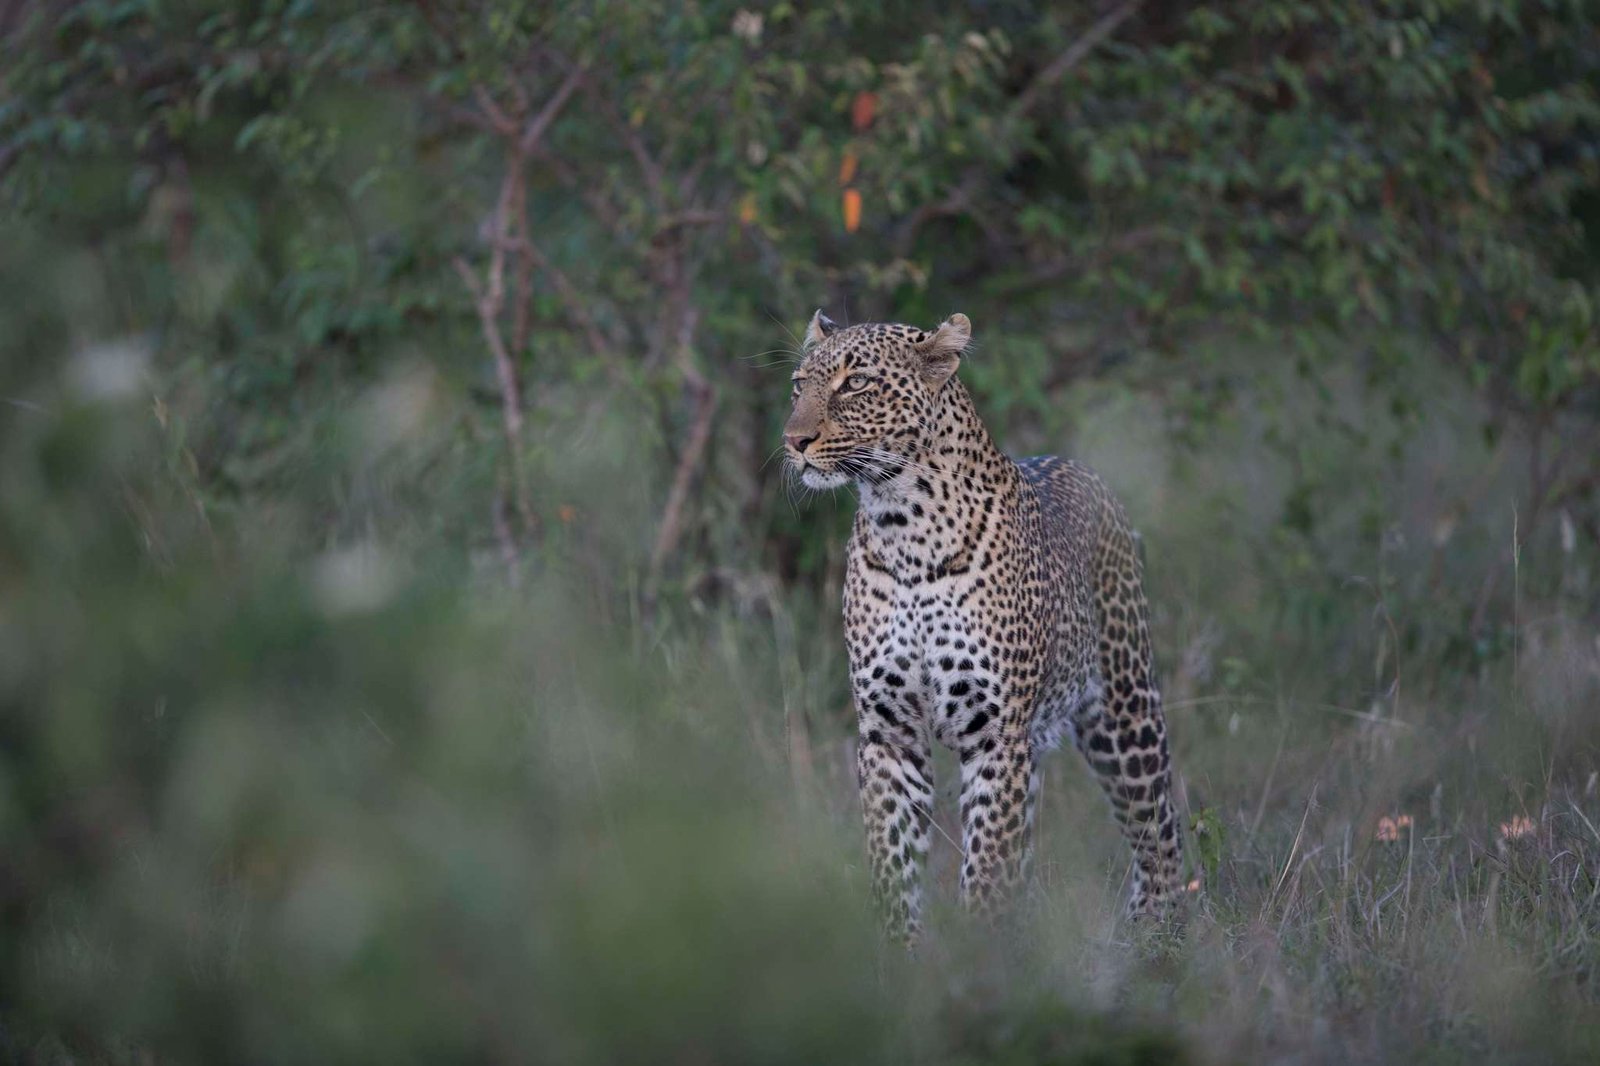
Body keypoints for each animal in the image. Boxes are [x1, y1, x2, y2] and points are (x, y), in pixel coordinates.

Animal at [782, 309, 1184, 945]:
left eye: (856, 384)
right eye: (800, 385)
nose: (793, 441)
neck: (903, 525)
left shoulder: (997, 737)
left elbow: (988, 870)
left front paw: (978, 958)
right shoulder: (889, 734)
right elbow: (893, 864)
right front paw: (897, 956)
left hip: (1124, 710)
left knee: (1159, 826)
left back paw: (1157, 939)